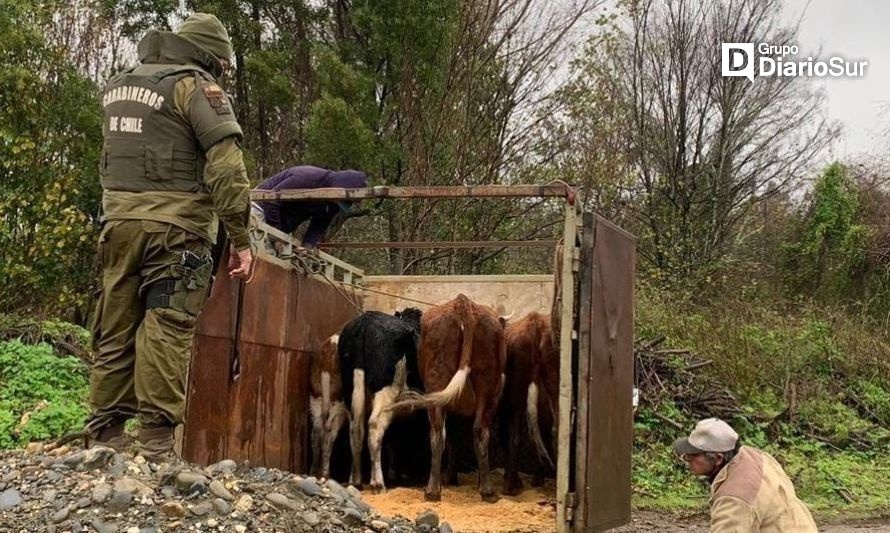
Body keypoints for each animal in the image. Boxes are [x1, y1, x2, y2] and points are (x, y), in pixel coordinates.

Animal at [340, 308, 424, 490]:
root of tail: (365, 320)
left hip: (351, 388)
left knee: (356, 429)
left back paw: (355, 481)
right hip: (386, 392)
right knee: (374, 425)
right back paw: (377, 483)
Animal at [396, 294, 506, 500]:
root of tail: (463, 302)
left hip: (438, 384)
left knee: (438, 432)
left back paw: (433, 489)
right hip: (487, 388)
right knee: (478, 430)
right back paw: (485, 489)